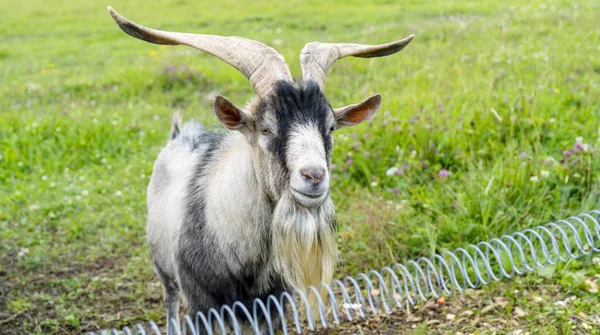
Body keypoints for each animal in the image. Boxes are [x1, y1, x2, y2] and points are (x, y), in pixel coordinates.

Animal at [106, 5, 412, 334]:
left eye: (330, 127)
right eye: (265, 128)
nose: (314, 176)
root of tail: (179, 135)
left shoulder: (272, 305)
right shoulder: (200, 303)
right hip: (164, 272)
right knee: (169, 302)